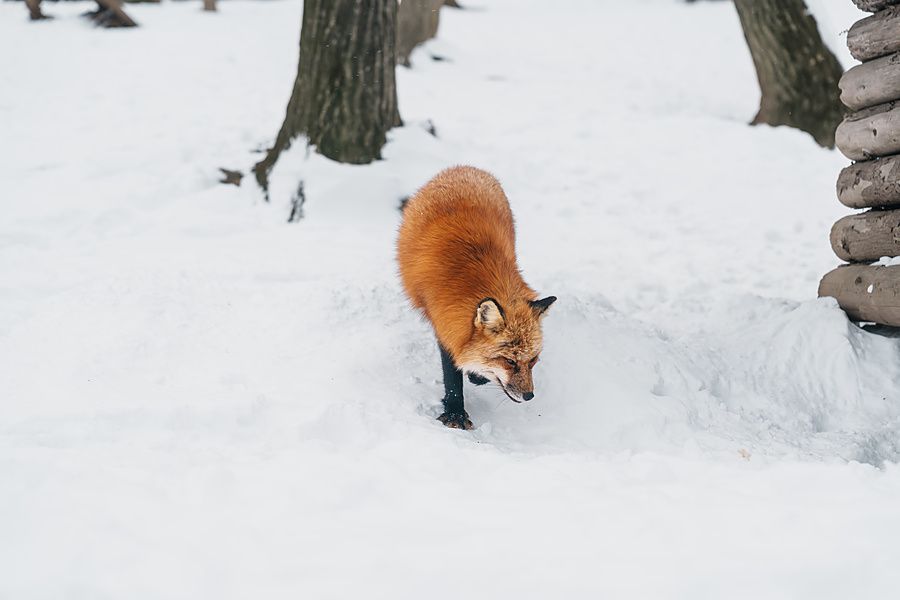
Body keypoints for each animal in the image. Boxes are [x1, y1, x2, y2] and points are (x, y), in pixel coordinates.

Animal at [397, 166, 556, 430]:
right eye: (509, 361)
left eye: (533, 360)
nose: (529, 396)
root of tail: (464, 168)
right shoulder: (445, 324)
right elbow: (453, 375)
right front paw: (455, 413)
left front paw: (474, 376)